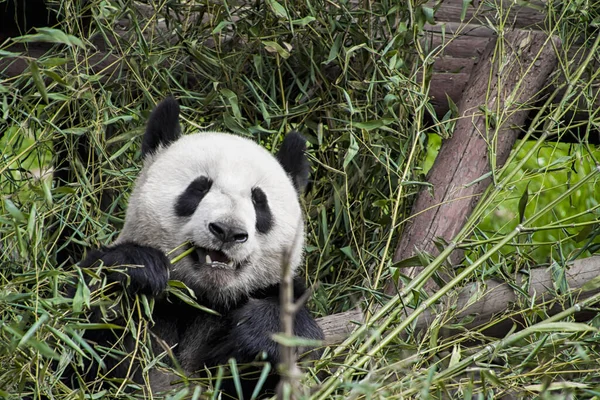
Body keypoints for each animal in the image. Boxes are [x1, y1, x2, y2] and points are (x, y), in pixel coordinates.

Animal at [68, 96, 326, 396]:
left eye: (259, 201)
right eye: (200, 187)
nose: (228, 231)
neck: (203, 297)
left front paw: (257, 335)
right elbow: (77, 347)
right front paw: (140, 270)